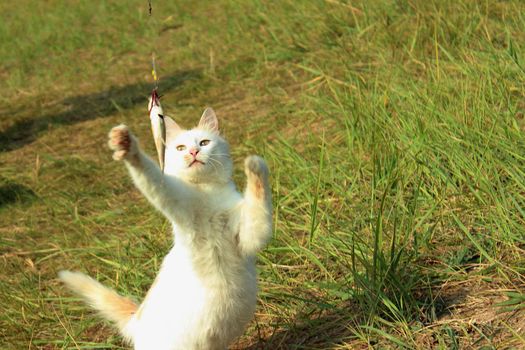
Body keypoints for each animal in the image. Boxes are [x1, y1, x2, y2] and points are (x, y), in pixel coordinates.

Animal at [59, 108, 272, 348]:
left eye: (204, 142)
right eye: (180, 148)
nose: (193, 152)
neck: (207, 191)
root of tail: (136, 321)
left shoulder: (249, 234)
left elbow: (259, 199)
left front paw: (255, 165)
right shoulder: (173, 198)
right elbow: (149, 174)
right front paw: (126, 145)